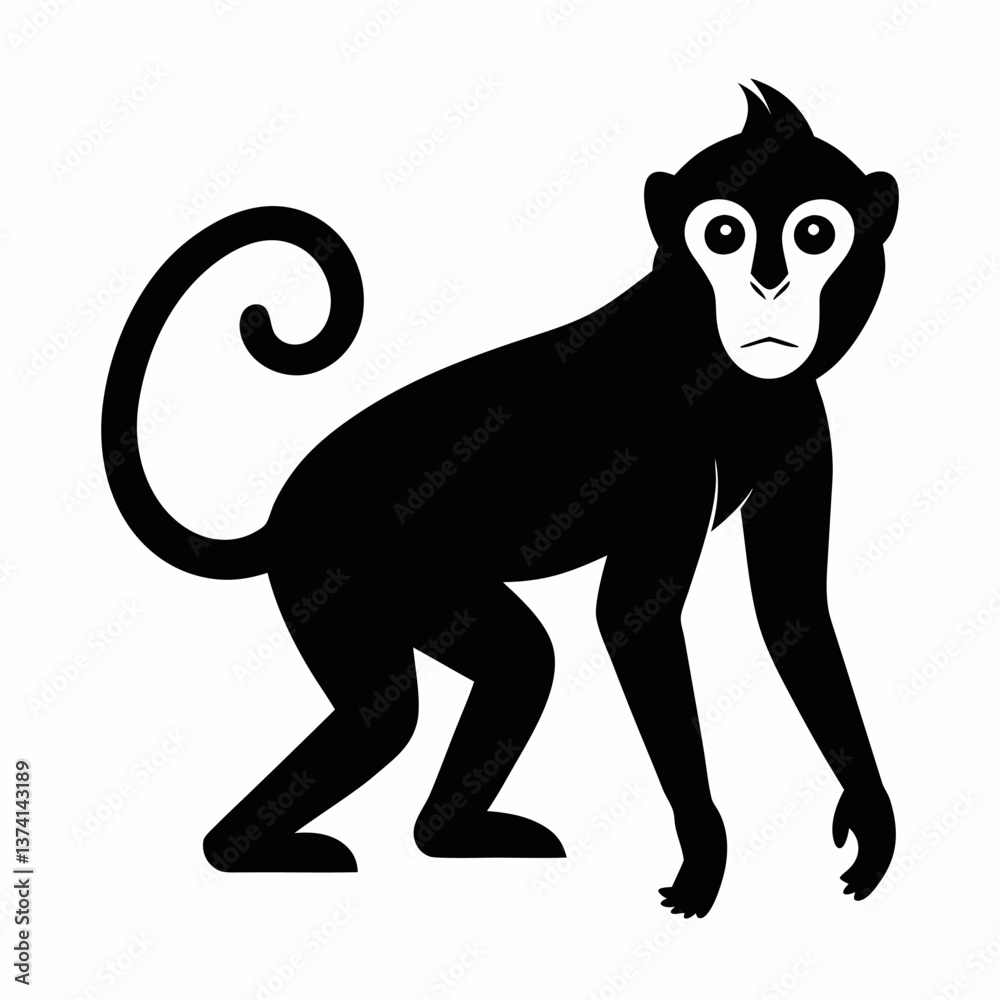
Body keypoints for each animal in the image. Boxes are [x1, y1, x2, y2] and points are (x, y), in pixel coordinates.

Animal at [102, 81, 897, 918]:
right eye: (724, 234)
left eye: (815, 233)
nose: (769, 284)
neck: (718, 366)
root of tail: (284, 514)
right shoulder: (666, 452)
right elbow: (634, 617)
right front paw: (702, 844)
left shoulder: (801, 417)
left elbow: (791, 610)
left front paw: (870, 816)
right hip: (343, 573)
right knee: (400, 711)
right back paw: (252, 851)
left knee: (486, 677)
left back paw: (441, 835)